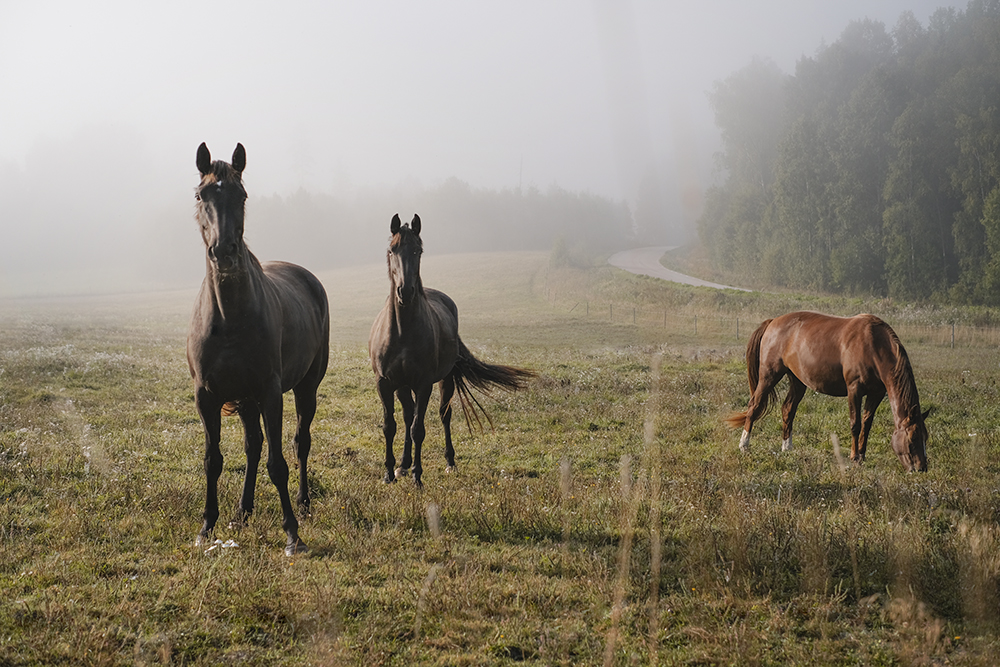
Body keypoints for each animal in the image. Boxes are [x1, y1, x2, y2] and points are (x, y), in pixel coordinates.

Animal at [186, 144, 330, 556]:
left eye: (243, 195)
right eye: (201, 195)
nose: (224, 253)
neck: (230, 317)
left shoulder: (270, 392)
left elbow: (278, 463)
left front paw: (292, 534)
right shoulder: (207, 396)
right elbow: (213, 460)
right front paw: (207, 526)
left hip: (305, 388)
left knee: (300, 442)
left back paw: (303, 503)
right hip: (247, 400)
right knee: (252, 447)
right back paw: (243, 511)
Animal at [370, 217, 540, 488]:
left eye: (417, 251)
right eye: (392, 250)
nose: (405, 291)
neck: (402, 331)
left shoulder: (424, 384)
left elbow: (419, 429)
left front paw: (418, 476)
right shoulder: (384, 383)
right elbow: (390, 426)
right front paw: (388, 473)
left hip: (445, 379)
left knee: (443, 414)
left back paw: (448, 462)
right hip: (402, 386)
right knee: (407, 415)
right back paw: (403, 465)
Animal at [728, 312, 928, 472]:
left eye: (925, 438)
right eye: (912, 440)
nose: (921, 468)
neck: (873, 345)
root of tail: (772, 322)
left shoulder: (876, 393)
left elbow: (867, 424)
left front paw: (862, 455)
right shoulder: (854, 390)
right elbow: (855, 424)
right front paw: (854, 457)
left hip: (798, 381)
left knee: (787, 409)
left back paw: (787, 447)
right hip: (769, 375)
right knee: (754, 406)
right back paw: (744, 445)